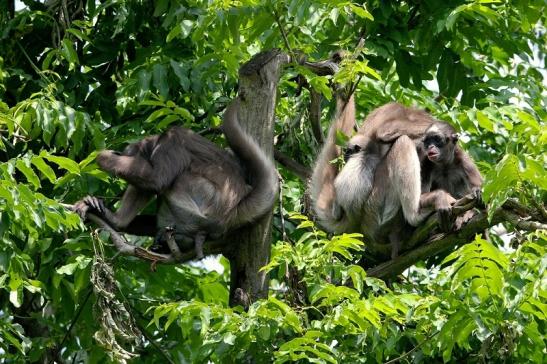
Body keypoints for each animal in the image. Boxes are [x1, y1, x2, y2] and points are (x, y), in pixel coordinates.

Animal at [73, 98, 278, 260]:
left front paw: (102, 158)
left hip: (208, 203)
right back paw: (119, 222)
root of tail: (236, 208)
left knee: (173, 181)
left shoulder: (172, 139)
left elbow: (156, 180)